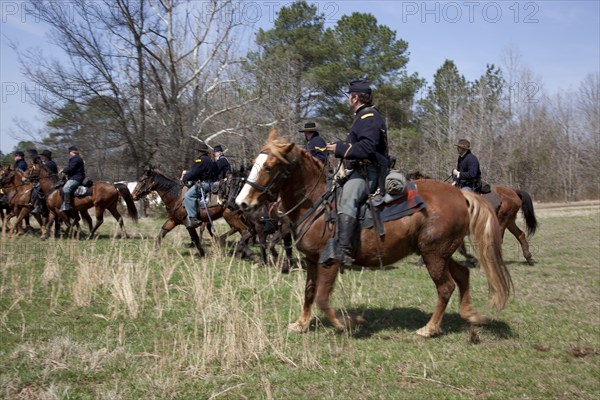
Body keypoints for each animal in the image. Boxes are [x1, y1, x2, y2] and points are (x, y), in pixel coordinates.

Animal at [237, 130, 512, 336]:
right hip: (438, 252)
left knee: (445, 287)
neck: (315, 203)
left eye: (269, 167)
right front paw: (301, 324)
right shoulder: (312, 259)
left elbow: (323, 298)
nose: (242, 203)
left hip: (434, 255)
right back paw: (470, 314)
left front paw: (349, 323)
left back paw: (430, 328)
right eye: (253, 164)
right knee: (463, 274)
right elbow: (310, 292)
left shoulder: (330, 261)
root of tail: (460, 194)